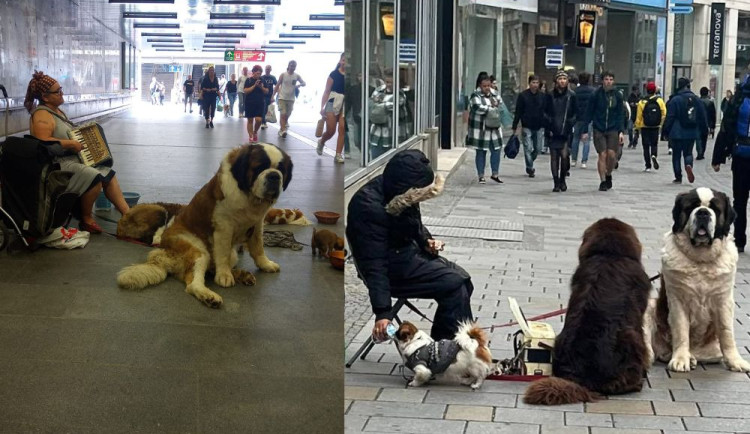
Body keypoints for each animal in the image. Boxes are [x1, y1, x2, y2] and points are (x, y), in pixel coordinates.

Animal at [117, 144, 294, 306]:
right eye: (259, 168)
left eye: (281, 169)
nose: (274, 176)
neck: (247, 196)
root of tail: (162, 253)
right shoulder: (224, 227)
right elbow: (222, 254)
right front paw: (224, 276)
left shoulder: (257, 224)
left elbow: (258, 247)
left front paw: (265, 264)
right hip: (198, 250)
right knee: (193, 282)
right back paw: (209, 295)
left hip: (231, 254)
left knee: (209, 270)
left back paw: (242, 275)